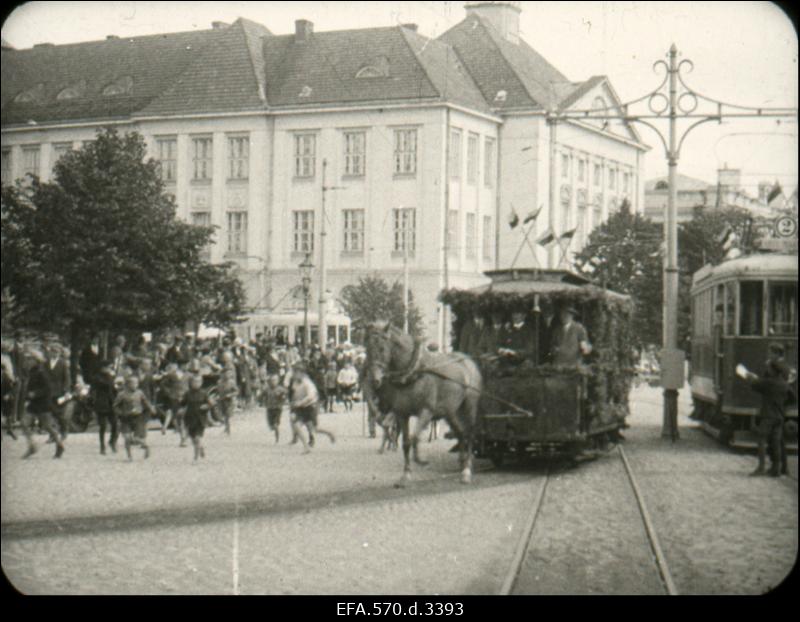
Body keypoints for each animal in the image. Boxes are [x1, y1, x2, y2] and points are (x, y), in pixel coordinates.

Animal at [368, 324, 484, 490]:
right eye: (368, 349)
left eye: (382, 348)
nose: (374, 380)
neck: (414, 372)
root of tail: (469, 360)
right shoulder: (402, 414)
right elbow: (406, 442)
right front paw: (405, 475)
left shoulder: (426, 411)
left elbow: (415, 437)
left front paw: (420, 459)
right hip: (451, 412)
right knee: (461, 433)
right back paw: (462, 464)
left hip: (470, 406)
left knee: (470, 433)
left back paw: (467, 471)